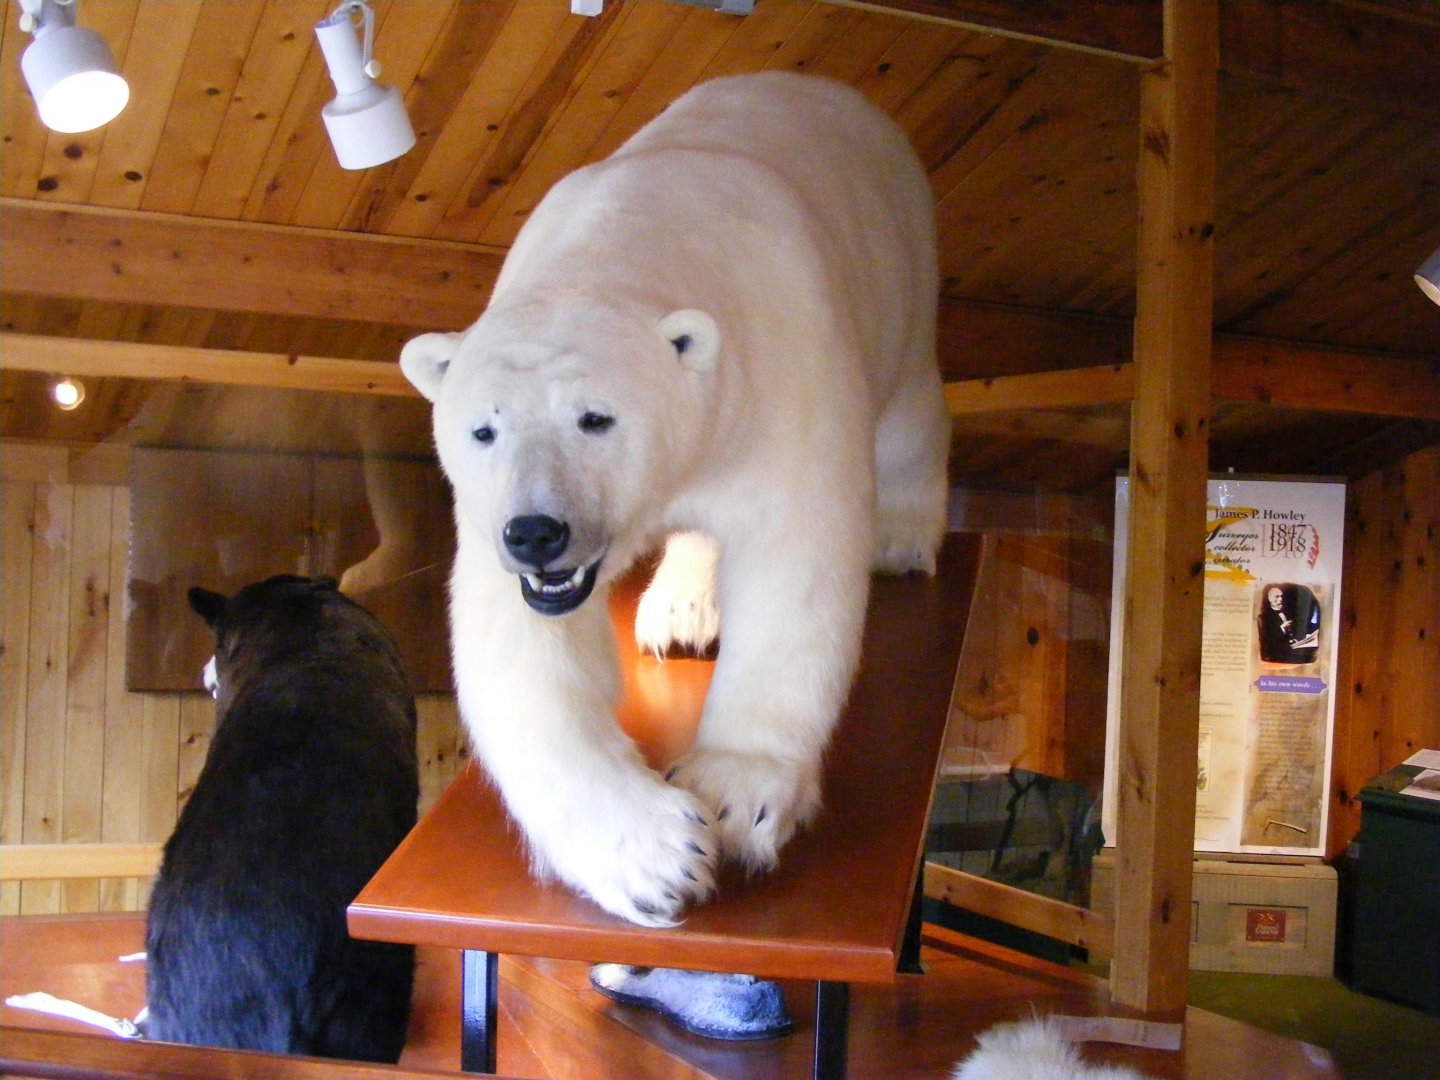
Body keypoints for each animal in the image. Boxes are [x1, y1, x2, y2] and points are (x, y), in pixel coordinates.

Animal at [400, 72, 949, 927]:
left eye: (595, 417)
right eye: (484, 429)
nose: (535, 533)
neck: (632, 233)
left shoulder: (780, 367)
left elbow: (794, 560)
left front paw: (735, 798)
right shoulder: (488, 515)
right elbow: (517, 644)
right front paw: (657, 855)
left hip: (906, 277)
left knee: (910, 416)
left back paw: (900, 536)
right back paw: (684, 613)